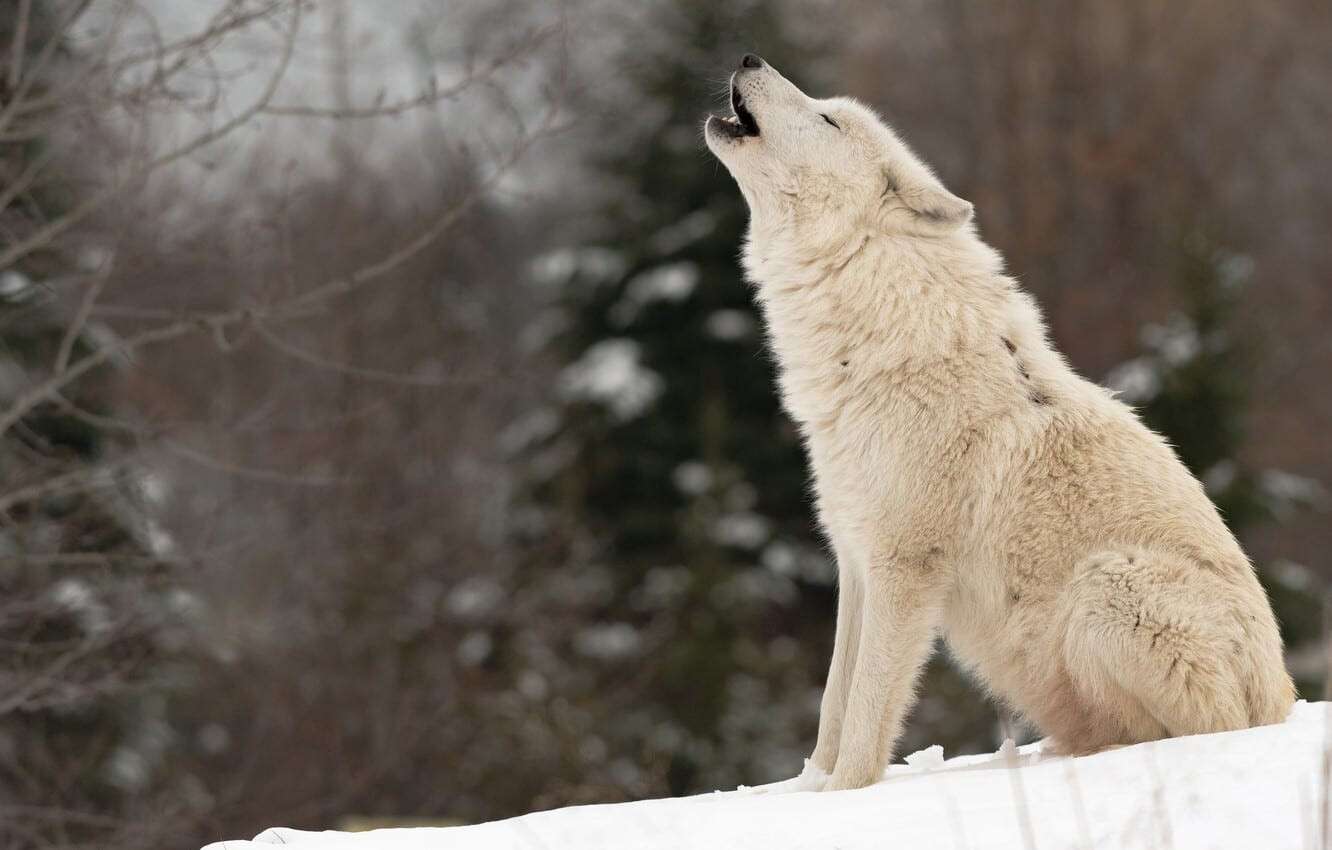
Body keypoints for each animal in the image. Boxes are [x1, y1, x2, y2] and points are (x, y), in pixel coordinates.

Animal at [703, 56, 1294, 794]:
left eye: (827, 118)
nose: (749, 58)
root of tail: (1280, 702)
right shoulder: (855, 557)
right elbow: (833, 704)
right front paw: (810, 791)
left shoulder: (903, 564)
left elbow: (867, 710)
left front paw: (845, 797)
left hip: (1108, 586)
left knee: (1189, 731)